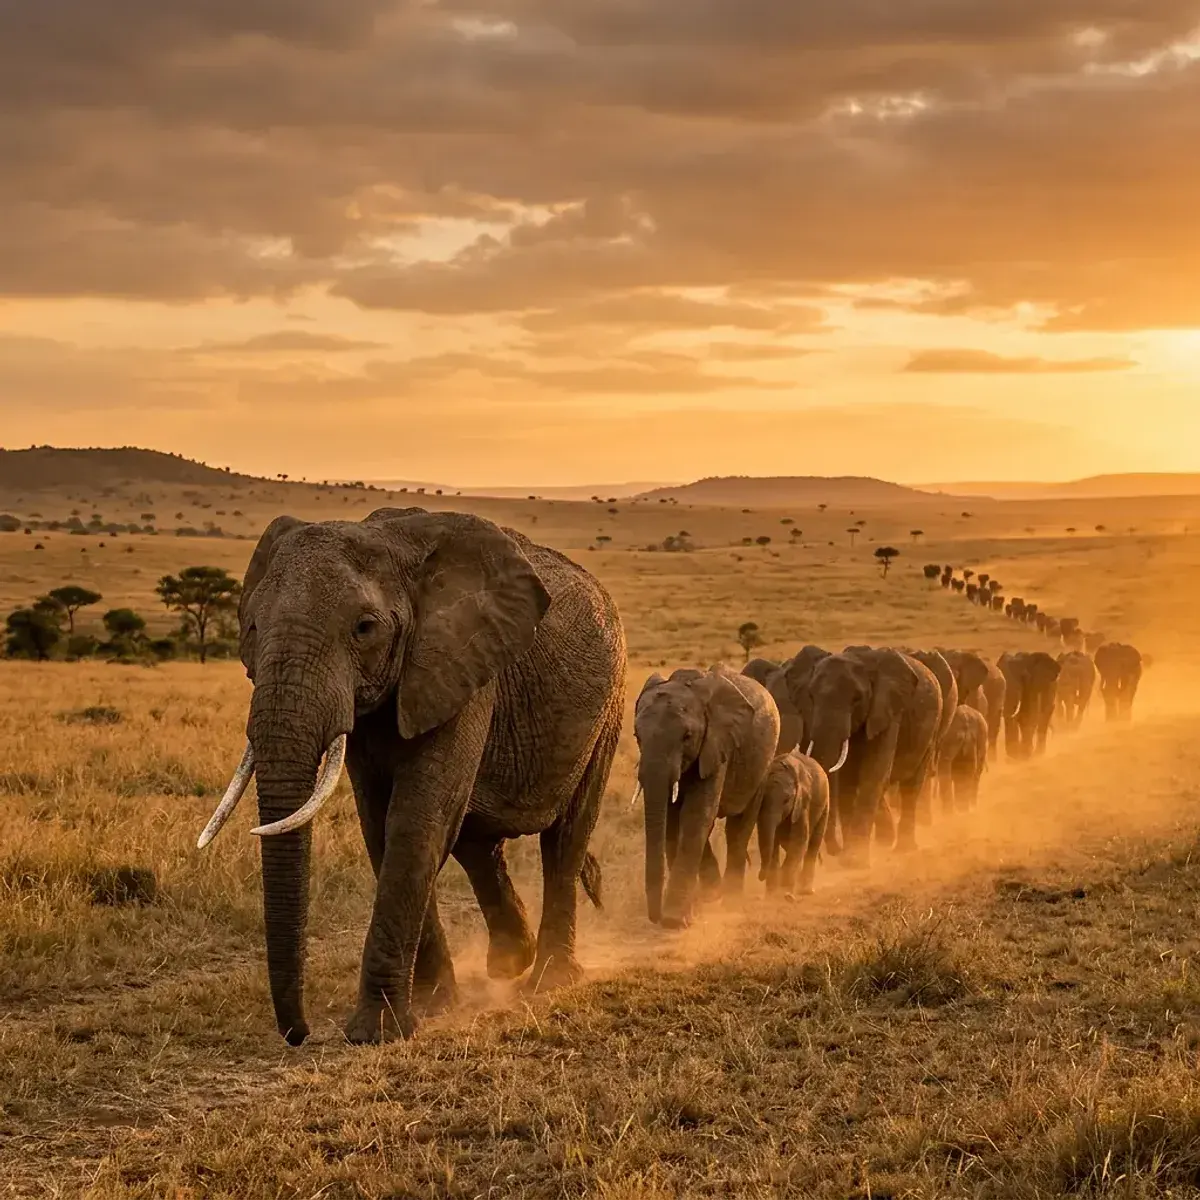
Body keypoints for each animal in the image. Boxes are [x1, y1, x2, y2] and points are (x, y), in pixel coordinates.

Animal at [197, 507, 627, 1046]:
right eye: (252, 626)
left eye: (364, 628)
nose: (299, 1033)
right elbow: (380, 827)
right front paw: (434, 1005)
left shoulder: (461, 668)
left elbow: (415, 823)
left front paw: (376, 1032)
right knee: (477, 844)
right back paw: (510, 963)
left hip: (608, 705)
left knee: (565, 838)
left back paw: (548, 980)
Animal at [635, 665, 781, 928]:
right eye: (637, 736)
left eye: (687, 736)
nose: (656, 917)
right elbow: (675, 819)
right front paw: (696, 906)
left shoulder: (717, 746)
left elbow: (695, 814)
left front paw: (675, 920)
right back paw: (713, 894)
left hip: (763, 762)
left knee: (739, 828)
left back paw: (731, 900)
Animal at [756, 750, 830, 897]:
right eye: (761, 799)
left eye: (787, 800)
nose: (760, 876)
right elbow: (774, 843)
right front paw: (772, 894)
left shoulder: (803, 803)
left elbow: (798, 840)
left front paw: (786, 893)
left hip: (825, 805)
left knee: (813, 844)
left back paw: (805, 890)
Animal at [791, 647, 942, 865]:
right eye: (810, 696)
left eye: (857, 699)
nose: (831, 854)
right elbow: (848, 781)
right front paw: (849, 856)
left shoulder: (887, 713)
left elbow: (872, 774)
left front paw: (854, 860)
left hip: (931, 730)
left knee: (911, 787)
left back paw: (903, 849)